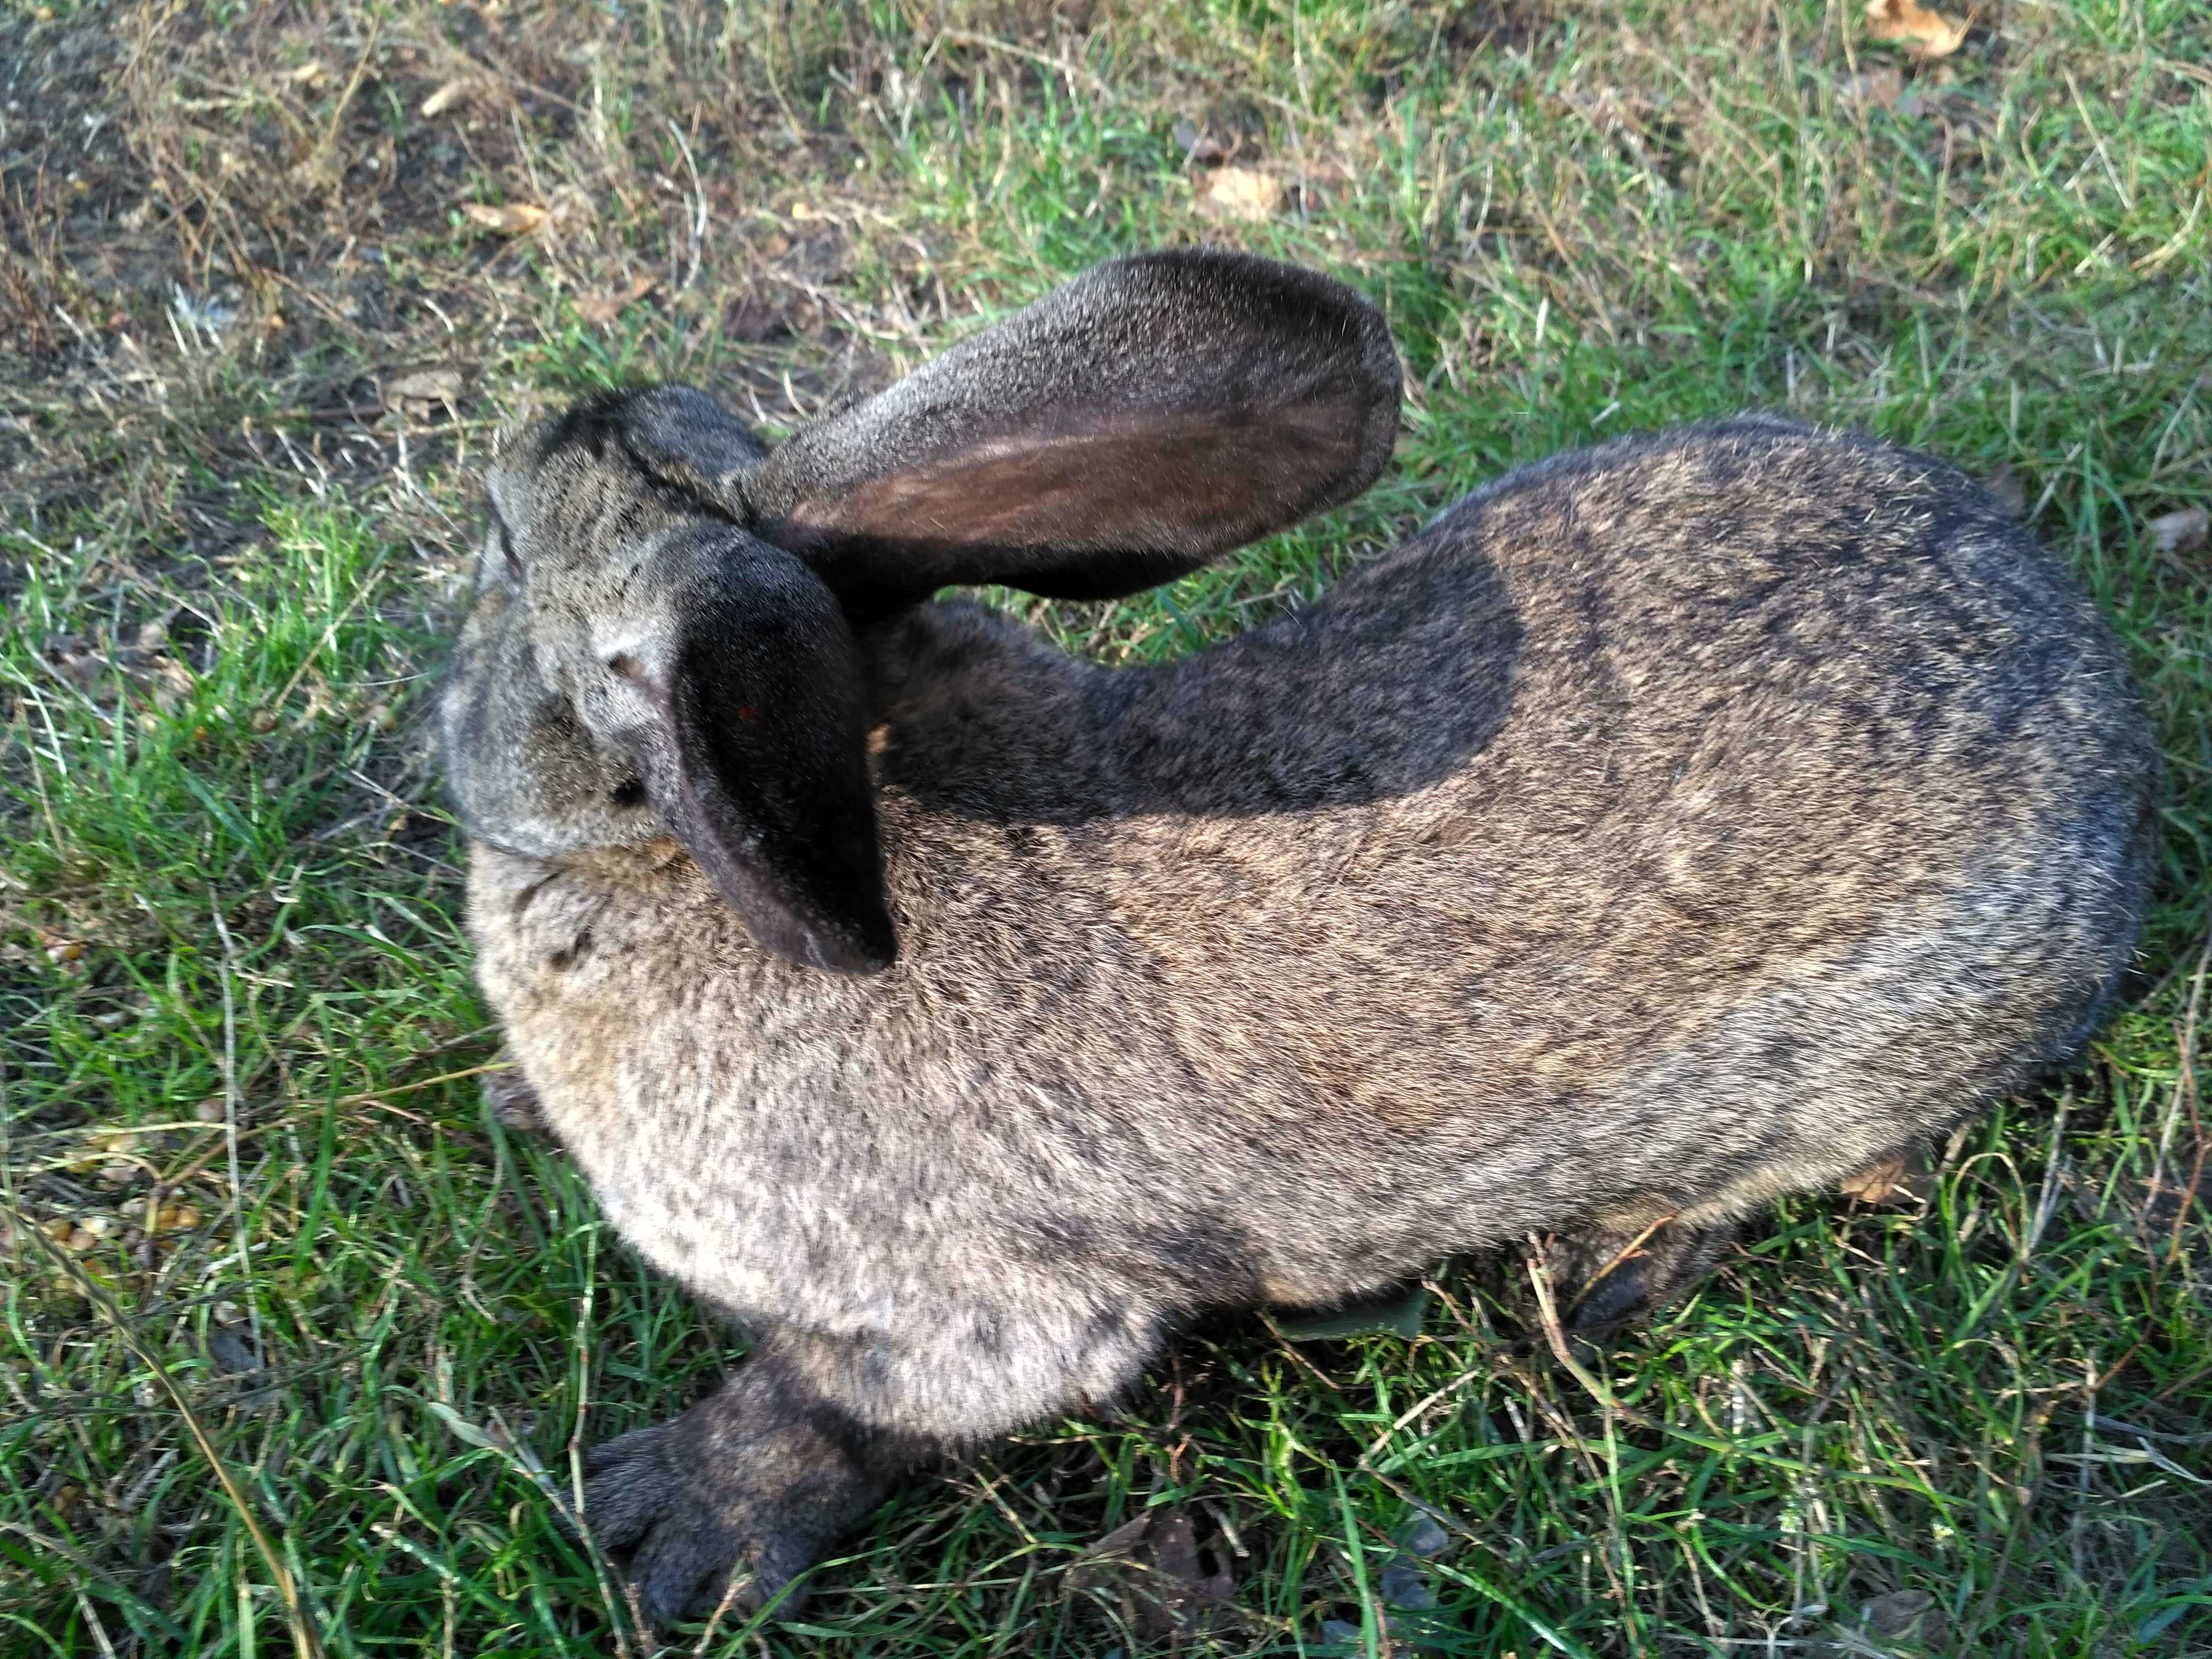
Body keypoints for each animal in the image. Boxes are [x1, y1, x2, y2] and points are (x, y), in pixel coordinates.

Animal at [440, 243, 2167, 1628]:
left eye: (507, 550)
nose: (522, 438)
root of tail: (2102, 724)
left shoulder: (982, 1304)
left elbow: (857, 1397)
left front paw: (680, 1513)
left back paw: (1615, 1257)